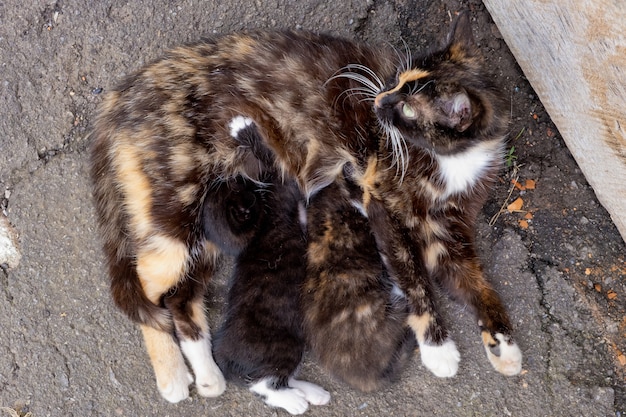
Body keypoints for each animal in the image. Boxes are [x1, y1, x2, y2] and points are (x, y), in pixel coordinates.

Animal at [88, 12, 516, 404]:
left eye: (409, 109)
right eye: (397, 79)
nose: (379, 99)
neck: (449, 160)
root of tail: (122, 95)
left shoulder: (447, 231)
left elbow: (476, 283)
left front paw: (504, 344)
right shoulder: (380, 198)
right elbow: (414, 277)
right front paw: (438, 349)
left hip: (212, 222)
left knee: (181, 296)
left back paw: (208, 375)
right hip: (178, 208)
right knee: (146, 286)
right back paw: (173, 375)